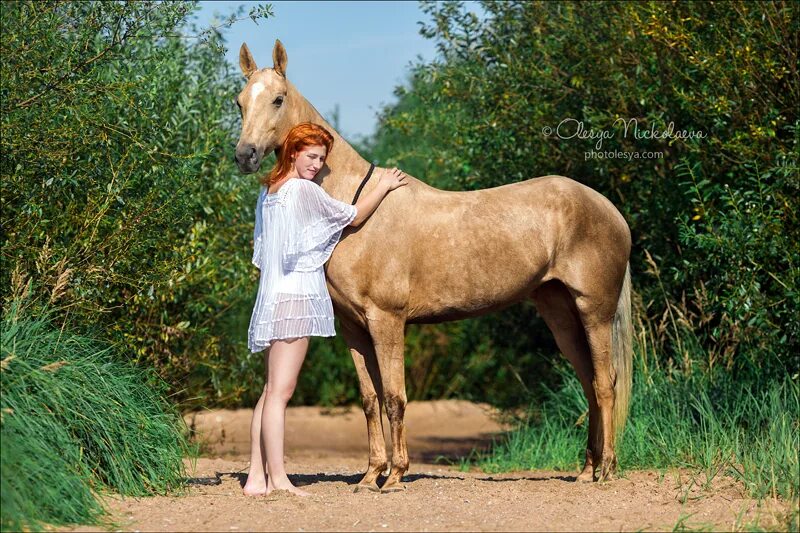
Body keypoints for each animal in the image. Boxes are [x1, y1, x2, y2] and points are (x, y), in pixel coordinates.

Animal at [234, 40, 636, 490]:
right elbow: (370, 400)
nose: (245, 155)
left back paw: (607, 470)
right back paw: (585, 470)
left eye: (278, 99)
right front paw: (370, 475)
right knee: (588, 381)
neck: (355, 210)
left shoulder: (387, 320)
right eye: (240, 102)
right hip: (560, 311)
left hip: (594, 311)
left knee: (605, 383)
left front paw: (394, 476)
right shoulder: (354, 327)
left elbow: (395, 397)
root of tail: (609, 209)